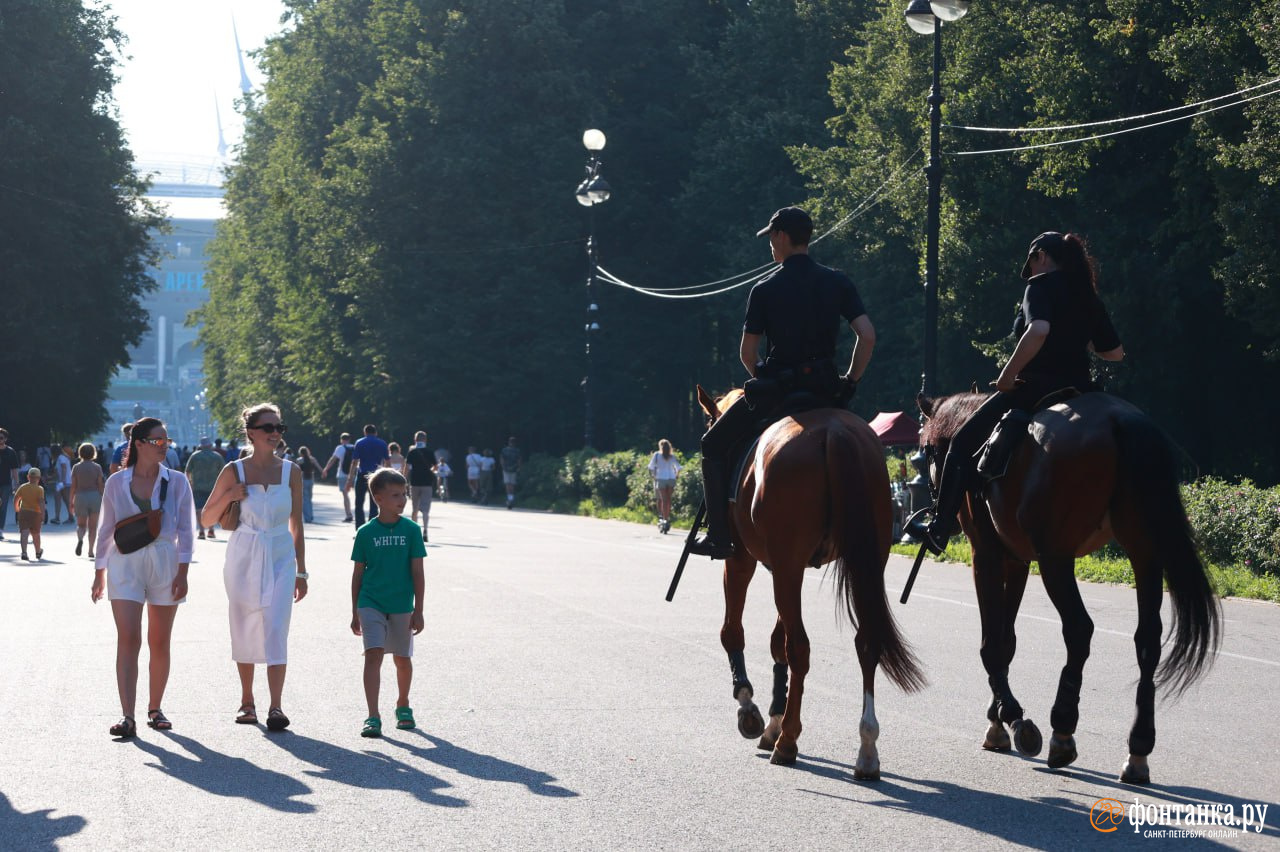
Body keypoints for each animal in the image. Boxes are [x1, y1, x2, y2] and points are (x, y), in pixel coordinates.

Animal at [696, 388, 926, 772]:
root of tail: (836, 432)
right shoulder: (787, 568)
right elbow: (777, 642)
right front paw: (773, 719)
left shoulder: (745, 561)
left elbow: (734, 632)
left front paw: (751, 709)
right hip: (865, 562)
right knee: (866, 643)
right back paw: (867, 747)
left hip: (786, 563)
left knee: (800, 648)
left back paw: (788, 741)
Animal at [921, 388, 1218, 777]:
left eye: (925, 449)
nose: (936, 509)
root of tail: (1119, 421)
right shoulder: (1016, 560)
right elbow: (1007, 639)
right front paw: (998, 716)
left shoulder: (985, 555)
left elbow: (992, 643)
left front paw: (1010, 718)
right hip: (1144, 554)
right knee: (1147, 640)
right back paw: (1138, 750)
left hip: (1056, 559)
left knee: (1079, 629)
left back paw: (1062, 729)